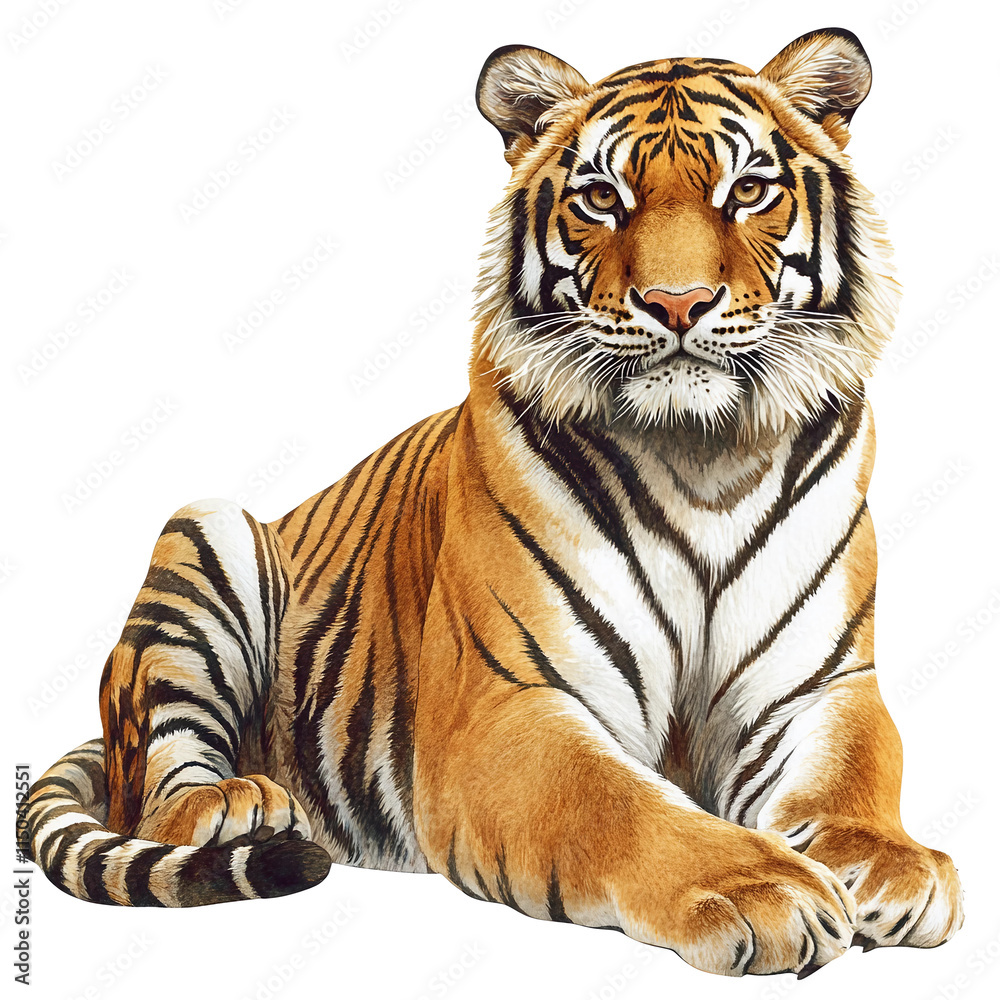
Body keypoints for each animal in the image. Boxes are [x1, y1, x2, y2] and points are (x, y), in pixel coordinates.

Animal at [17, 27, 964, 978]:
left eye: (748, 191)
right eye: (601, 197)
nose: (678, 304)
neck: (702, 455)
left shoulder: (819, 683)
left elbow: (857, 766)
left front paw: (890, 867)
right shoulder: (509, 705)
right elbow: (619, 805)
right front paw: (763, 888)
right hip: (207, 535)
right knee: (160, 794)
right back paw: (239, 803)